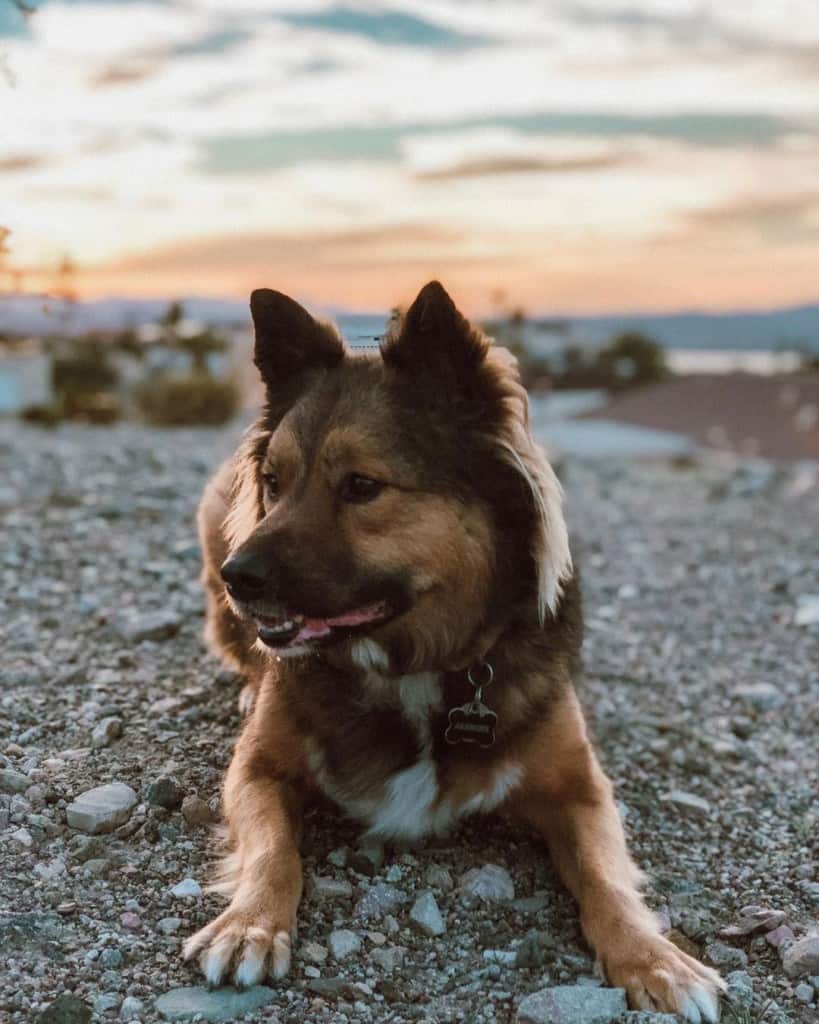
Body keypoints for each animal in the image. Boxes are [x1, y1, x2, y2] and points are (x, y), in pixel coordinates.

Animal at [184, 282, 724, 1024]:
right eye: (272, 480)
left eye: (361, 486)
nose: (241, 576)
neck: (413, 667)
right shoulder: (257, 769)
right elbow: (272, 850)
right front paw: (249, 924)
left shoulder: (581, 788)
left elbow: (608, 880)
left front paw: (656, 959)